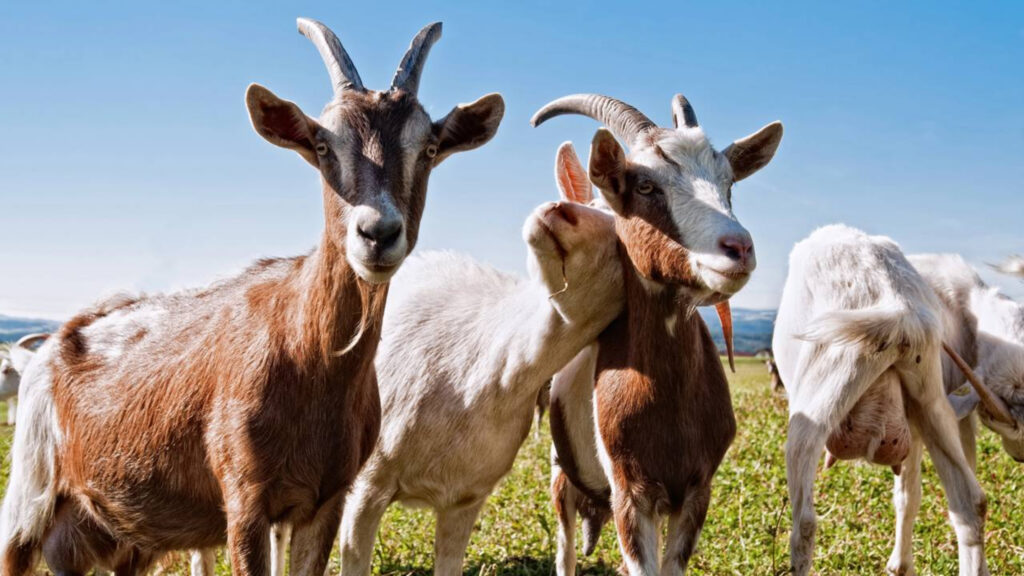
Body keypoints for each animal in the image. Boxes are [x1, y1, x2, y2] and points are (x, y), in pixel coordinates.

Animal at [0, 18, 503, 576]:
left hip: (117, 533)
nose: (377, 233)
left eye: (429, 149)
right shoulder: (244, 498)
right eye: (324, 146)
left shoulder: (328, 499)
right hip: (29, 489)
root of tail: (60, 341)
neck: (308, 358)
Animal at [533, 93, 783, 575]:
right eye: (646, 187)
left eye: (728, 184)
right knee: (565, 546)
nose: (739, 248)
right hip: (560, 473)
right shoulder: (631, 494)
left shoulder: (697, 490)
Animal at [772, 225, 990, 576]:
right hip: (930, 397)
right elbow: (908, 495)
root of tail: (895, 305)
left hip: (820, 396)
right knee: (970, 504)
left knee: (804, 523)